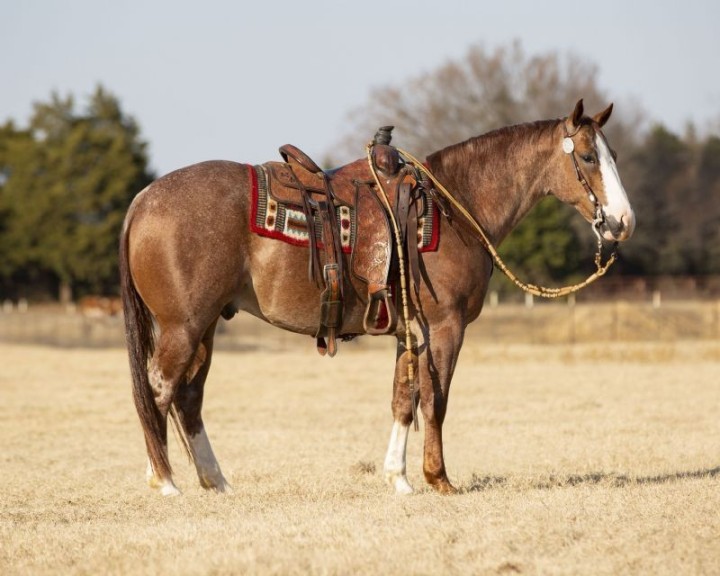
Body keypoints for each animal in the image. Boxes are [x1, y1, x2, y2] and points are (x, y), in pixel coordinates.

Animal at [119, 99, 635, 496]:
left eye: (611, 154)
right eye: (588, 157)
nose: (623, 221)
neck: (454, 207)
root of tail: (142, 200)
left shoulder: (409, 332)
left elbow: (403, 400)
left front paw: (399, 479)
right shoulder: (444, 329)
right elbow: (435, 401)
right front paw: (438, 479)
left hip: (205, 326)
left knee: (187, 397)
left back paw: (215, 481)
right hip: (182, 326)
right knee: (159, 388)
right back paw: (164, 480)